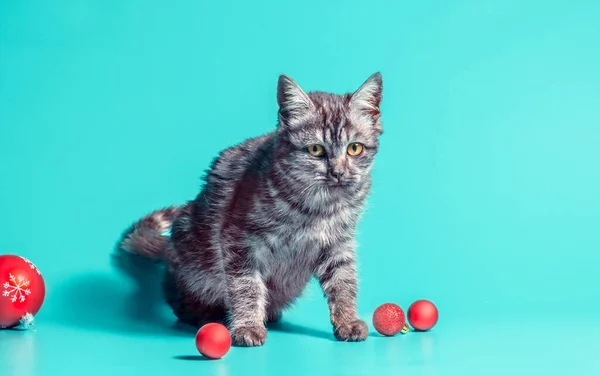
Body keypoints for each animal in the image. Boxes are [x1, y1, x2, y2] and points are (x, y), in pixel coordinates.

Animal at [117, 71, 384, 346]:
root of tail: (169, 249)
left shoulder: (339, 242)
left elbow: (344, 281)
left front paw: (348, 320)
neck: (317, 208)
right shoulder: (239, 240)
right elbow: (246, 285)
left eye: (354, 148)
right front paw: (247, 327)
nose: (338, 173)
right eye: (315, 149)